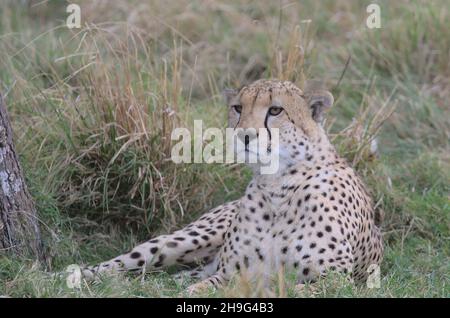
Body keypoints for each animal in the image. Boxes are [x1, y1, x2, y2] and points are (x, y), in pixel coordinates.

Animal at [80, 79, 384, 294]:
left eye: (276, 110)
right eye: (238, 108)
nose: (244, 136)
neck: (277, 184)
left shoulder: (336, 280)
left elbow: (296, 290)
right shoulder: (229, 274)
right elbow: (205, 288)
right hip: (188, 239)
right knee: (124, 263)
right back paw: (74, 276)